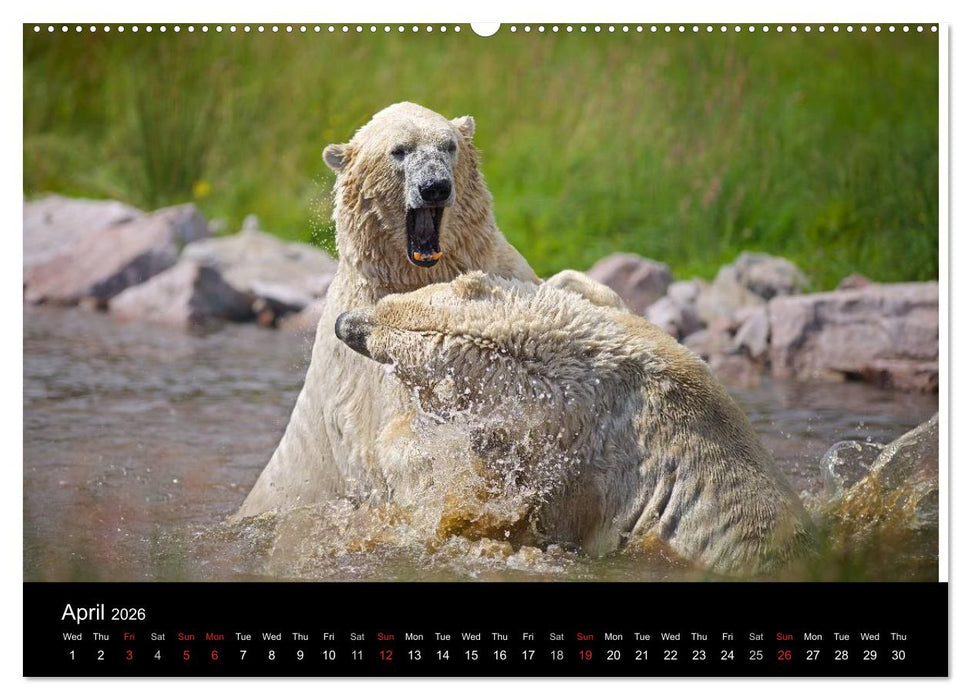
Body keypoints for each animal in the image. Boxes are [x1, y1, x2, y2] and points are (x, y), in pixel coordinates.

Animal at [235, 103, 537, 518]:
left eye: (449, 145)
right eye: (399, 150)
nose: (434, 187)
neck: (418, 274)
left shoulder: (503, 274)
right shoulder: (366, 352)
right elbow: (401, 430)